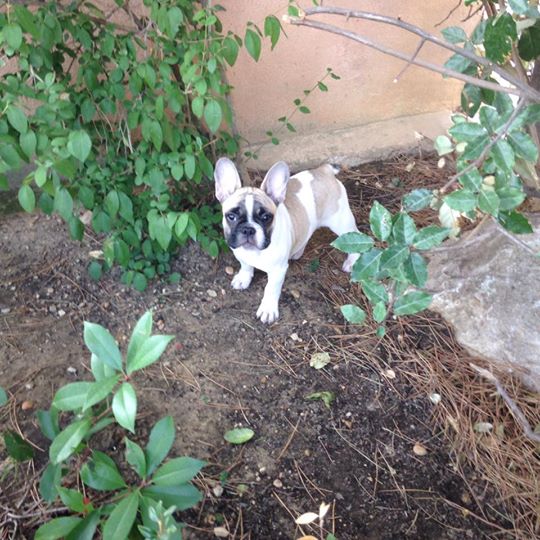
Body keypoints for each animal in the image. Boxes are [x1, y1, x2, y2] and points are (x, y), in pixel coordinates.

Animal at [214, 157, 360, 323]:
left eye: (266, 217)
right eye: (231, 216)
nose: (248, 229)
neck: (255, 252)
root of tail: (323, 170)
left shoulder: (278, 271)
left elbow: (271, 289)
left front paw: (268, 309)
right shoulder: (241, 255)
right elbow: (245, 266)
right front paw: (243, 278)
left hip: (341, 222)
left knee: (355, 235)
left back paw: (351, 262)